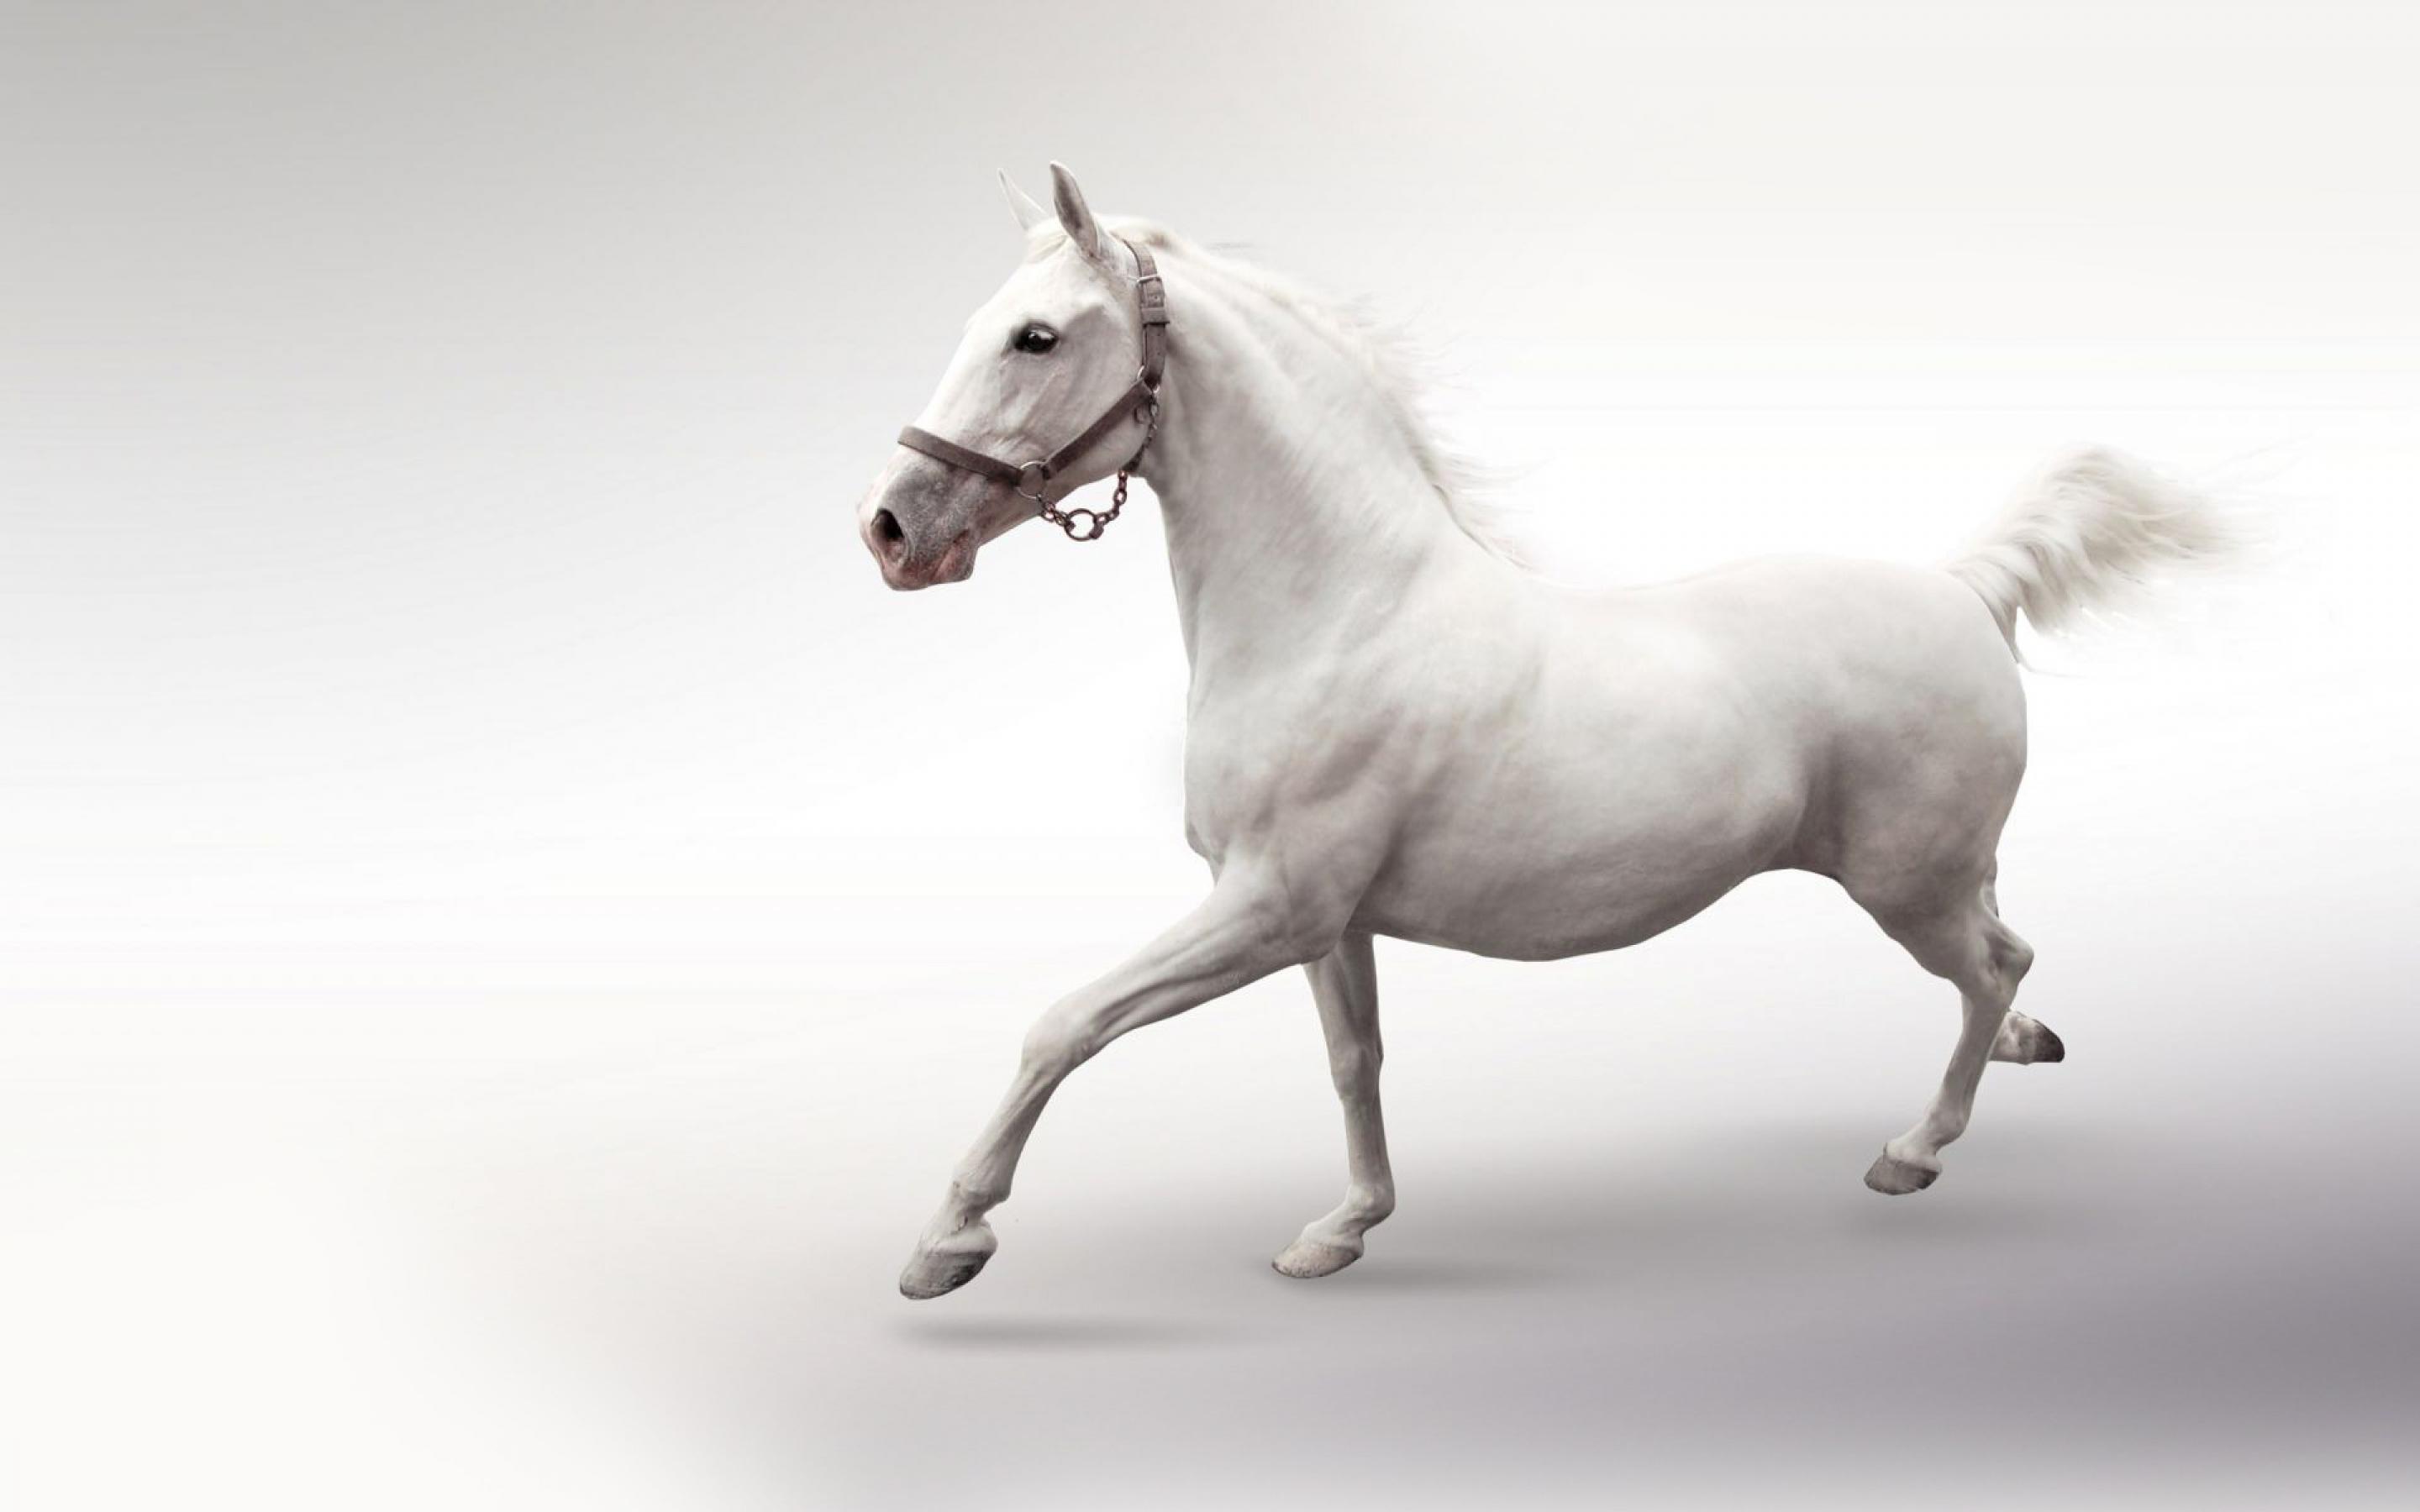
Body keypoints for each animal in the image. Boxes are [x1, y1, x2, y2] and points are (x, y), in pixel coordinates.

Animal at [856, 164, 2237, 1300]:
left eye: (1037, 336)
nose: (893, 530)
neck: (1338, 609)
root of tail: (1967, 588)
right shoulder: (1328, 923)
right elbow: (1355, 1062)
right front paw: (1342, 1230)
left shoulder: (1267, 908)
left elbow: (1065, 1024)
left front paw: (947, 1242)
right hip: (1946, 869)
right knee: (2002, 957)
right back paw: (2021, 1053)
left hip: (1905, 886)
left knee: (1996, 964)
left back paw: (1912, 1153)